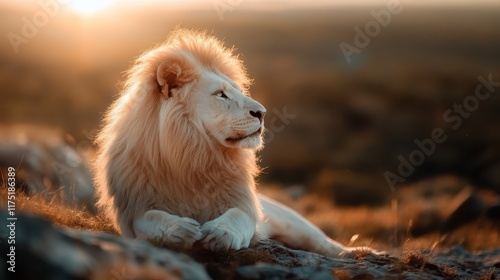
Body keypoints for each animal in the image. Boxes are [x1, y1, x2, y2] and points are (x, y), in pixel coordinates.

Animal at [94, 29, 366, 258]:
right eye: (220, 94)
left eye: (237, 91)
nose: (262, 113)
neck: (194, 153)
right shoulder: (132, 211)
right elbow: (149, 219)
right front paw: (179, 230)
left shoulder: (244, 205)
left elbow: (238, 216)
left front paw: (219, 233)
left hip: (294, 223)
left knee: (326, 243)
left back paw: (360, 252)